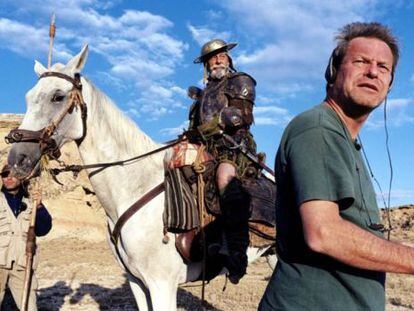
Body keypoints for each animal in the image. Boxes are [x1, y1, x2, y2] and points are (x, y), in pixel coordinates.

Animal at [8, 45, 274, 310]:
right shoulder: (136, 281)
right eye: (28, 97)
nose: (16, 160)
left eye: (57, 96)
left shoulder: (162, 285)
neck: (134, 186)